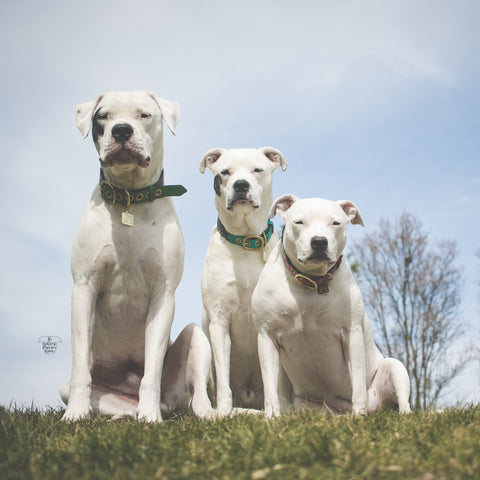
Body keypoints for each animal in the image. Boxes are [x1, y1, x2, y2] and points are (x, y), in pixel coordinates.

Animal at [61, 92, 215, 422]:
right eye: (102, 116)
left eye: (144, 115)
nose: (121, 130)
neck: (130, 197)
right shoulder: (84, 286)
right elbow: (80, 370)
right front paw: (74, 415)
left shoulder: (163, 293)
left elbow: (151, 371)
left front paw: (151, 417)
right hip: (81, 390)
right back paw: (123, 416)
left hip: (196, 339)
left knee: (197, 397)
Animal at [198, 147, 284, 416]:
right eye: (225, 172)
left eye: (257, 169)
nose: (241, 184)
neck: (245, 241)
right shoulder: (219, 320)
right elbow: (223, 377)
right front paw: (224, 413)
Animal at [251, 195, 412, 416]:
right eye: (299, 222)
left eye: (335, 223)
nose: (319, 241)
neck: (311, 282)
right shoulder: (267, 336)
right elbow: (270, 388)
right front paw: (272, 417)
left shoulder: (352, 335)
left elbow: (357, 386)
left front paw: (359, 416)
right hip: (305, 403)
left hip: (394, 368)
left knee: (402, 401)